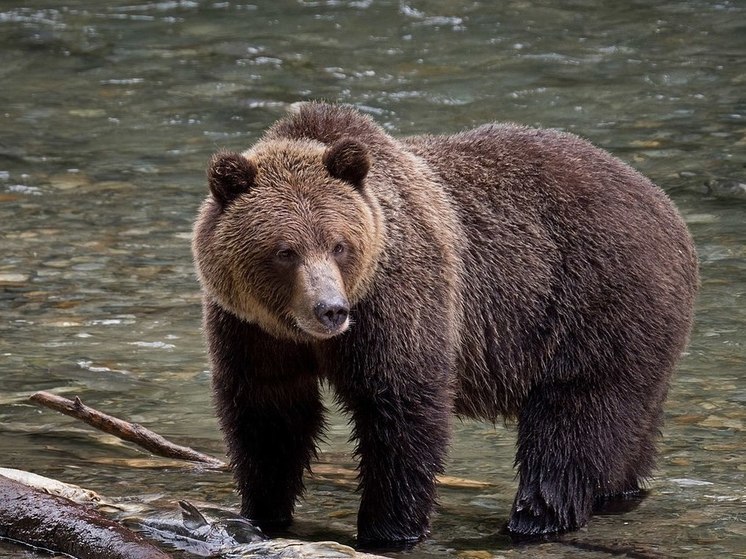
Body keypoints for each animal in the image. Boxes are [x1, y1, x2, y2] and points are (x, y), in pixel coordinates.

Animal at [193, 101, 696, 548]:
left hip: (596, 304)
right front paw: (262, 512)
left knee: (574, 419)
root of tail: (667, 210)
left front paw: (388, 529)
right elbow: (269, 414)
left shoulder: (398, 299)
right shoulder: (251, 330)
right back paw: (616, 494)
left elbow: (401, 409)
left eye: (339, 244)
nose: (330, 309)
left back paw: (535, 519)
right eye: (285, 250)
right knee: (629, 431)